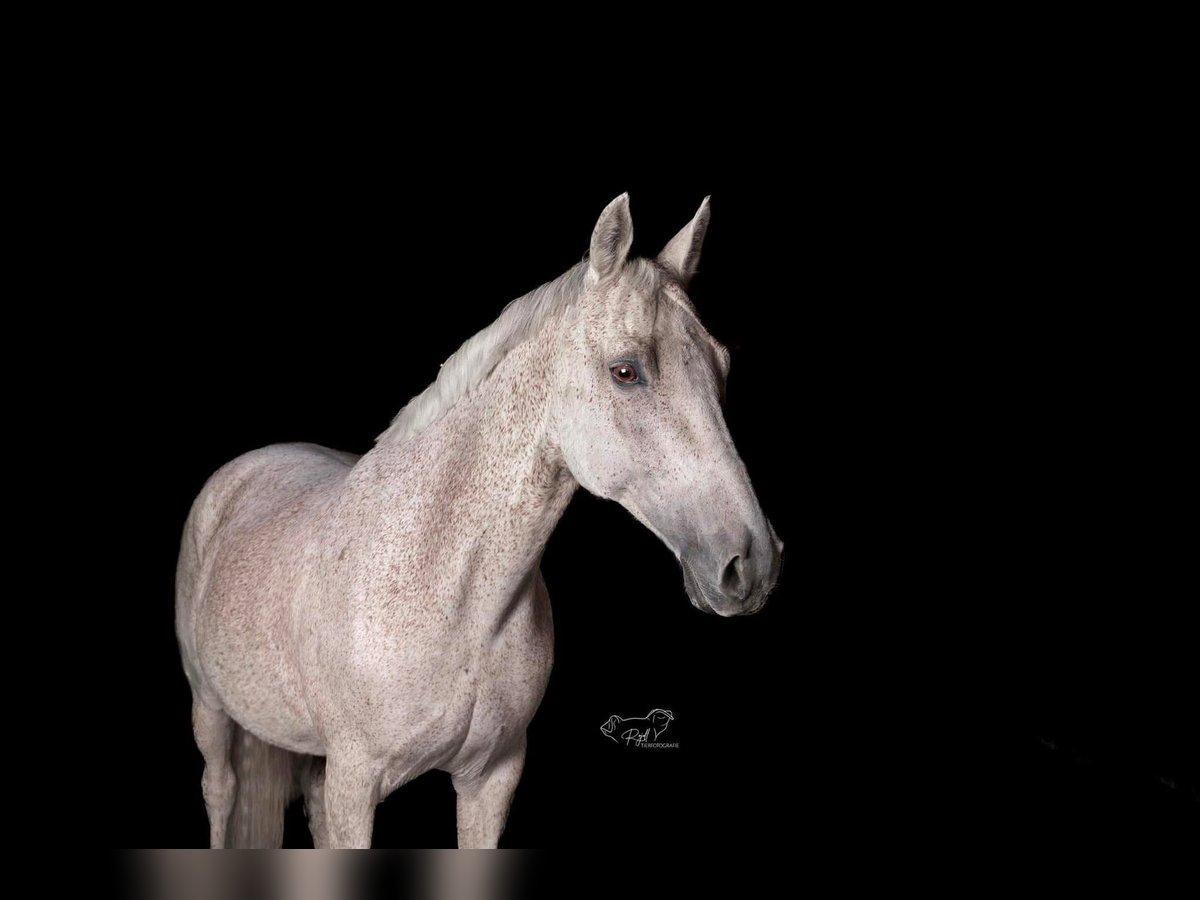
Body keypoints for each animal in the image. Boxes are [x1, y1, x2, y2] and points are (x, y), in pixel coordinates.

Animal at [174, 194, 782, 849]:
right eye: (626, 371)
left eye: (723, 365)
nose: (752, 562)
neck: (451, 590)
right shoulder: (354, 783)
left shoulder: (492, 777)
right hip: (211, 707)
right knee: (220, 791)